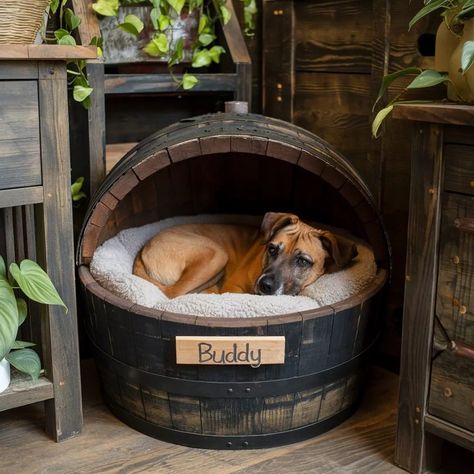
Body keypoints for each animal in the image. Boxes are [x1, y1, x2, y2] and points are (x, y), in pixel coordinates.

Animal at [131, 213, 358, 298]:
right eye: (272, 249)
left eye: (303, 261)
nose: (265, 285)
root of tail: (144, 249)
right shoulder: (233, 287)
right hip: (216, 254)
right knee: (173, 292)